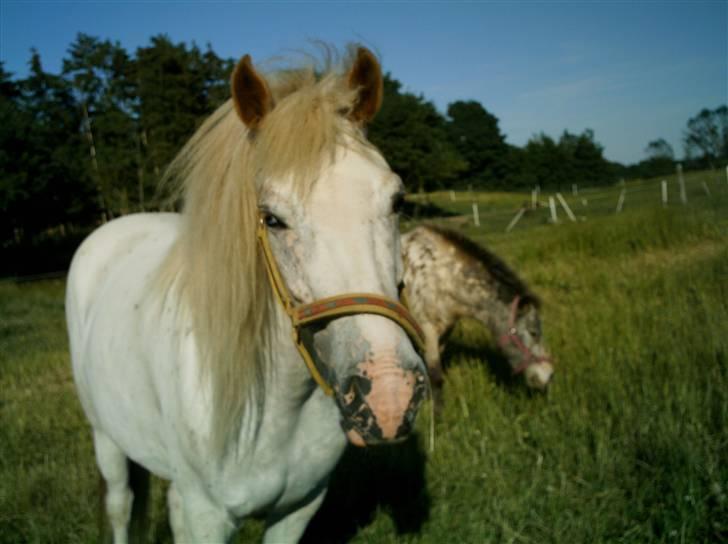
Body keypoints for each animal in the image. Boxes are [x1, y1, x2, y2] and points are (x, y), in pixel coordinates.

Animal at [67, 47, 426, 544]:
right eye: (272, 218)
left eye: (397, 200)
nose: (390, 395)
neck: (279, 407)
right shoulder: (204, 515)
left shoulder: (298, 509)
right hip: (106, 438)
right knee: (120, 507)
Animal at [400, 225, 548, 400]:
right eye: (533, 333)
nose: (548, 375)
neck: (439, 277)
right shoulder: (428, 333)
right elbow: (435, 377)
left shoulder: (442, 335)